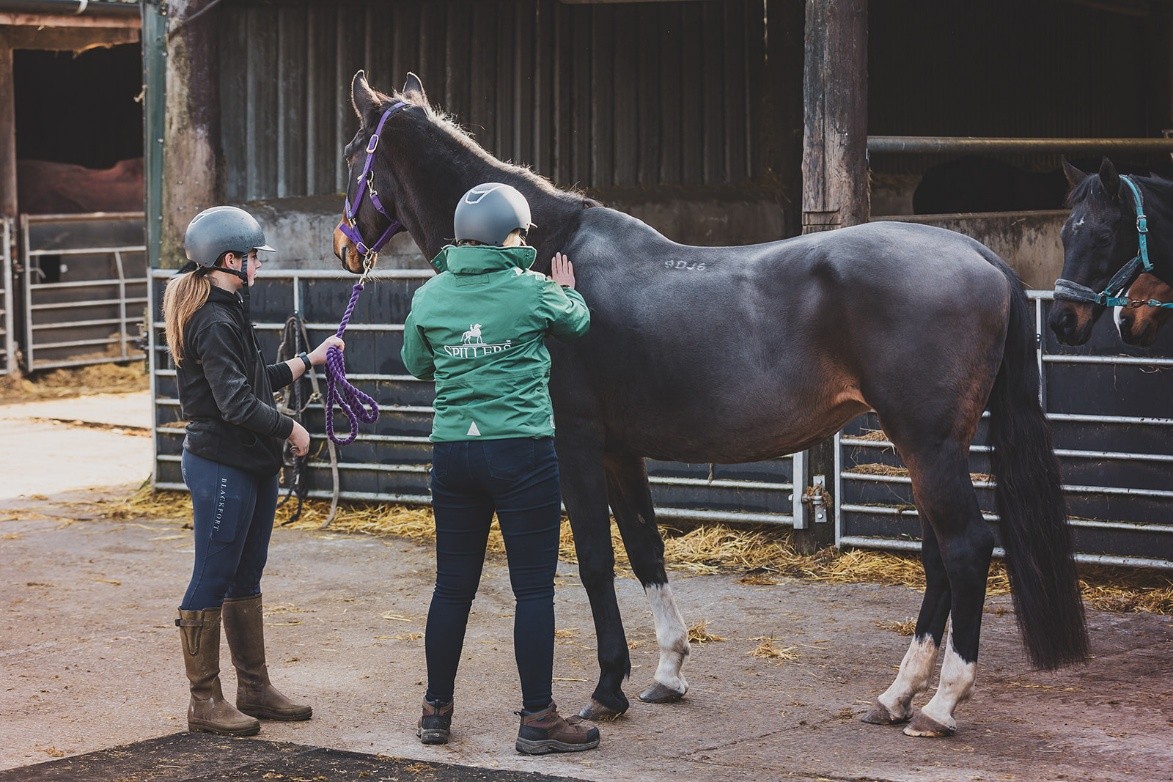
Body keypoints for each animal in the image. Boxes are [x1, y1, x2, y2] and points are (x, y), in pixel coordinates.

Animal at [334, 72, 1088, 738]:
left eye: (349, 154)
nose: (343, 244)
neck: (543, 247)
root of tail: (980, 256)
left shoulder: (574, 442)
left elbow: (595, 559)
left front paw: (606, 690)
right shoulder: (618, 449)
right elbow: (644, 548)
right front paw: (665, 674)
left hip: (927, 444)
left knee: (964, 550)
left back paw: (939, 706)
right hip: (929, 447)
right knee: (938, 557)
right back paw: (896, 696)